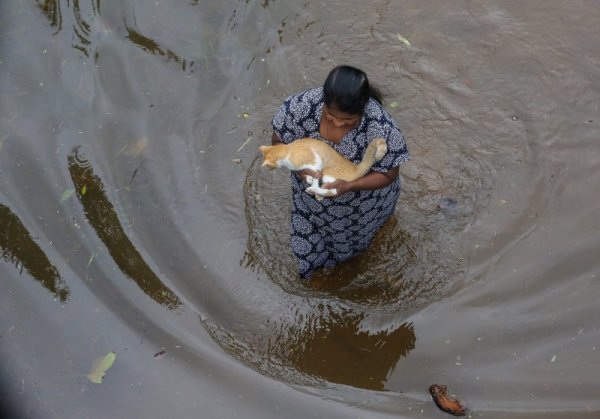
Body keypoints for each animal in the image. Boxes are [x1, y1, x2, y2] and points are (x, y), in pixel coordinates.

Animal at [256, 136, 386, 199]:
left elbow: (316, 177)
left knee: (332, 191)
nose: (270, 170)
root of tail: (355, 167)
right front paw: (308, 178)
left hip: (328, 174)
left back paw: (314, 191)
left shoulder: (316, 163)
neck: (289, 150)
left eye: (269, 167)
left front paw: (313, 185)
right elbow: (310, 176)